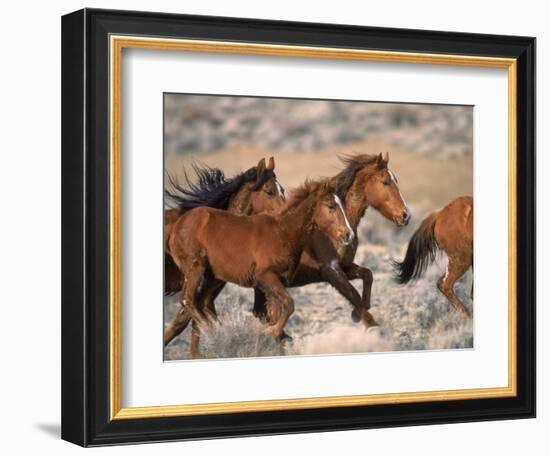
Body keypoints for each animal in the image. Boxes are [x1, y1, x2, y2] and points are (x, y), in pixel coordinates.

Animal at [166, 179, 354, 356]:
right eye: (331, 206)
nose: (349, 234)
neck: (282, 232)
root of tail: (178, 225)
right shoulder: (265, 277)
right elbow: (289, 305)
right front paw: (269, 332)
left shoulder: (276, 284)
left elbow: (277, 313)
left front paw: (275, 337)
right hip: (196, 268)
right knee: (188, 300)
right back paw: (217, 332)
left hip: (213, 276)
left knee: (201, 303)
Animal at [253, 152, 410, 328]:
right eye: (385, 182)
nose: (405, 215)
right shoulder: (331, 270)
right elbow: (354, 295)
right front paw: (367, 322)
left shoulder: (344, 266)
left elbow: (367, 275)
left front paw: (357, 313)